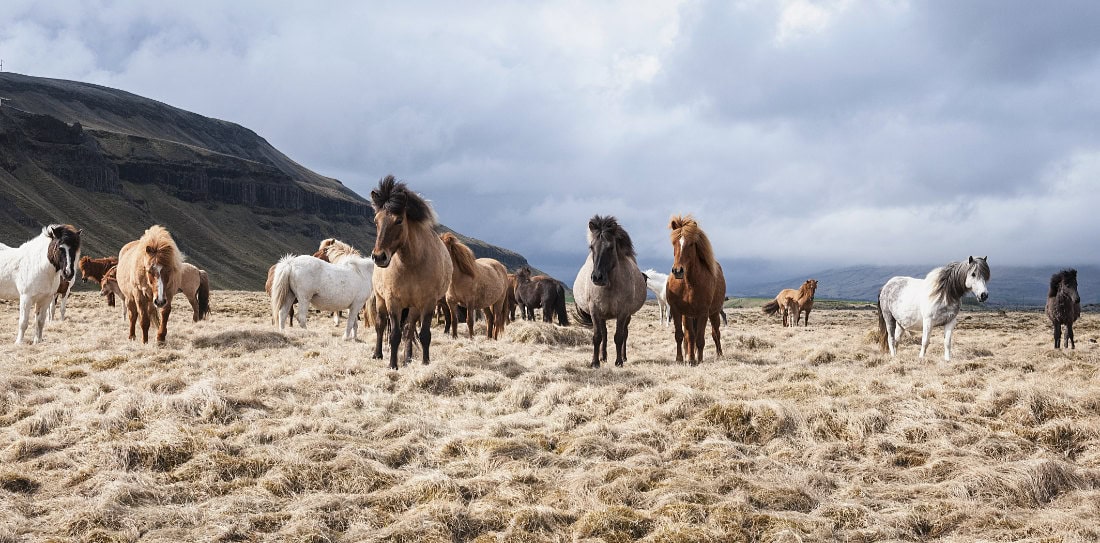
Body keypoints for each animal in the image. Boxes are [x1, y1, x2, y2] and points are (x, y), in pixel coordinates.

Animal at [369, 175, 453, 369]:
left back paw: (407, 358)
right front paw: (392, 365)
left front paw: (425, 362)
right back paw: (377, 354)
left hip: (413, 308)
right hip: (380, 300)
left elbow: (424, 335)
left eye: (399, 220)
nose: (379, 257)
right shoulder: (392, 301)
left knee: (408, 329)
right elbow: (394, 335)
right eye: (376, 220)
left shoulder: (428, 303)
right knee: (380, 325)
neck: (411, 265)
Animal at [573, 216, 647, 368]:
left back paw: (623, 357)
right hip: (602, 316)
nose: (597, 277)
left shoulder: (623, 312)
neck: (608, 287)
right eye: (591, 247)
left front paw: (619, 361)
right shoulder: (595, 311)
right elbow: (597, 337)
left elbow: (619, 336)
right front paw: (595, 362)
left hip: (627, 316)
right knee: (604, 334)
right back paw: (603, 357)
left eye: (611, 247)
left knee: (625, 333)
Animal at [666, 215, 726, 364]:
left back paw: (719, 354)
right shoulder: (679, 311)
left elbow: (700, 338)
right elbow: (683, 336)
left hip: (714, 313)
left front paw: (698, 360)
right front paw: (682, 359)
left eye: (691, 244)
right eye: (674, 243)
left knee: (715, 333)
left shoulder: (703, 312)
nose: (678, 271)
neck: (688, 284)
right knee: (690, 336)